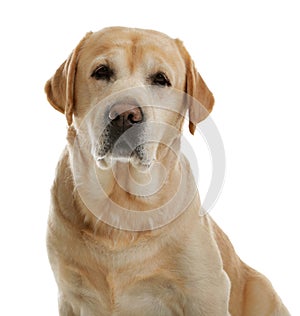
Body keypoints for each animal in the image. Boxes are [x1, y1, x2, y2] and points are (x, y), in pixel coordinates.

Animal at [45, 27, 290, 316]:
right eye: (101, 71)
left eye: (161, 79)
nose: (125, 115)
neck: (121, 206)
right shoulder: (69, 295)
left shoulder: (206, 291)